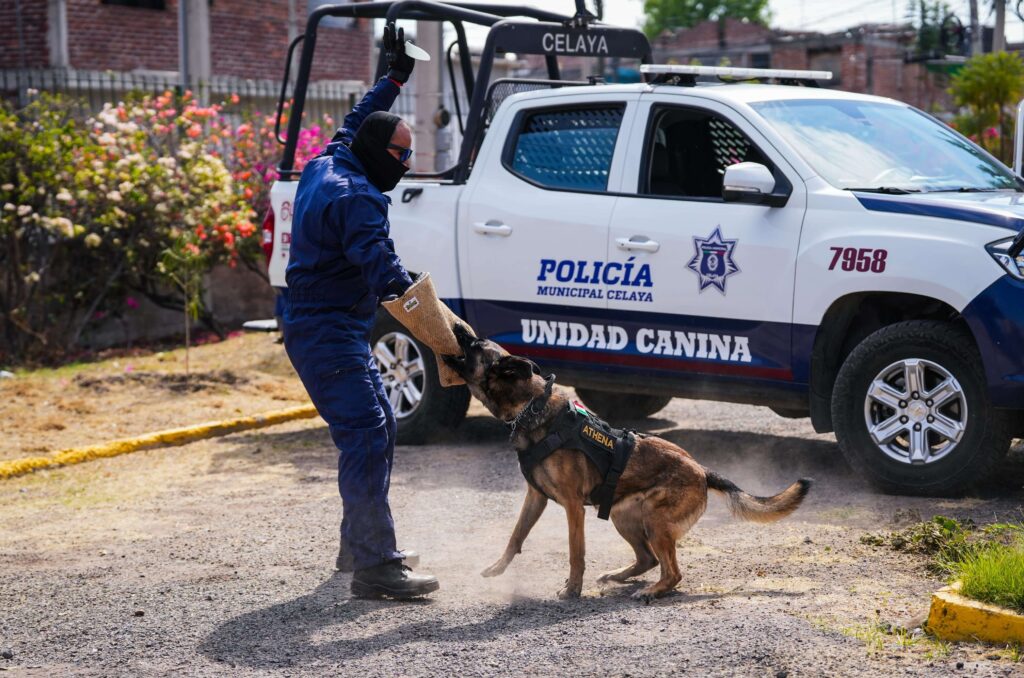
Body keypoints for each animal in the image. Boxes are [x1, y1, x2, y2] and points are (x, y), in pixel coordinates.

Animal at [443, 324, 811, 601]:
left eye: (475, 343)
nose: (457, 326)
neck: (532, 407)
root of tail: (702, 471)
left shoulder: (573, 506)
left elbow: (576, 553)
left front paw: (572, 590)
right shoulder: (535, 498)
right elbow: (515, 537)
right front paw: (498, 568)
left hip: (654, 520)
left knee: (672, 571)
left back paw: (652, 591)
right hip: (624, 515)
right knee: (647, 558)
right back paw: (620, 576)